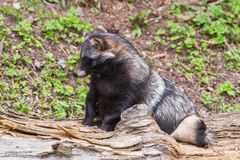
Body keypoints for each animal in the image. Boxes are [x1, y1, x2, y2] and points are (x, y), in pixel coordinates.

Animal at [74, 32, 213, 148]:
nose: (74, 73)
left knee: (196, 129)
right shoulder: (97, 84)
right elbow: (91, 100)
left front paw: (104, 127)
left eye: (86, 59)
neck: (107, 76)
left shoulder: (133, 86)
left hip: (190, 122)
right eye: (82, 57)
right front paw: (87, 121)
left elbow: (120, 108)